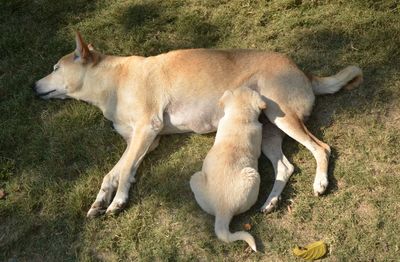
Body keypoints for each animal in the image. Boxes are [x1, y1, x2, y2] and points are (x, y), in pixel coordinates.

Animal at [32, 32, 360, 217]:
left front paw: (118, 202)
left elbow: (123, 171)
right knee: (285, 166)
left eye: (56, 68)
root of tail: (304, 72)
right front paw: (101, 200)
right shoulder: (142, 141)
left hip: (284, 118)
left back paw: (320, 183)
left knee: (321, 148)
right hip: (268, 130)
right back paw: (270, 202)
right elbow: (113, 173)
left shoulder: (147, 130)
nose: (33, 86)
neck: (113, 82)